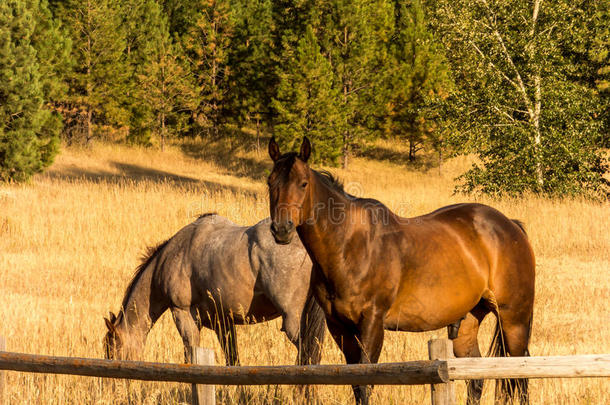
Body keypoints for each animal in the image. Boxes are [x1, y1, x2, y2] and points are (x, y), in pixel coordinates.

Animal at [102, 213, 326, 364]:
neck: (171, 256)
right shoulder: (223, 322)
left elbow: (191, 355)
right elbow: (232, 360)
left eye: (112, 350)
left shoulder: (183, 315)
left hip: (293, 322)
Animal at [266, 137, 532, 402]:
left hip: (514, 321)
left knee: (521, 376)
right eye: (270, 183)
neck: (349, 245)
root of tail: (510, 225)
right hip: (468, 324)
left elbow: (365, 384)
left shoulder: (372, 323)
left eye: (303, 183)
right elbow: (355, 383)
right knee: (475, 378)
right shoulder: (339, 327)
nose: (281, 229)